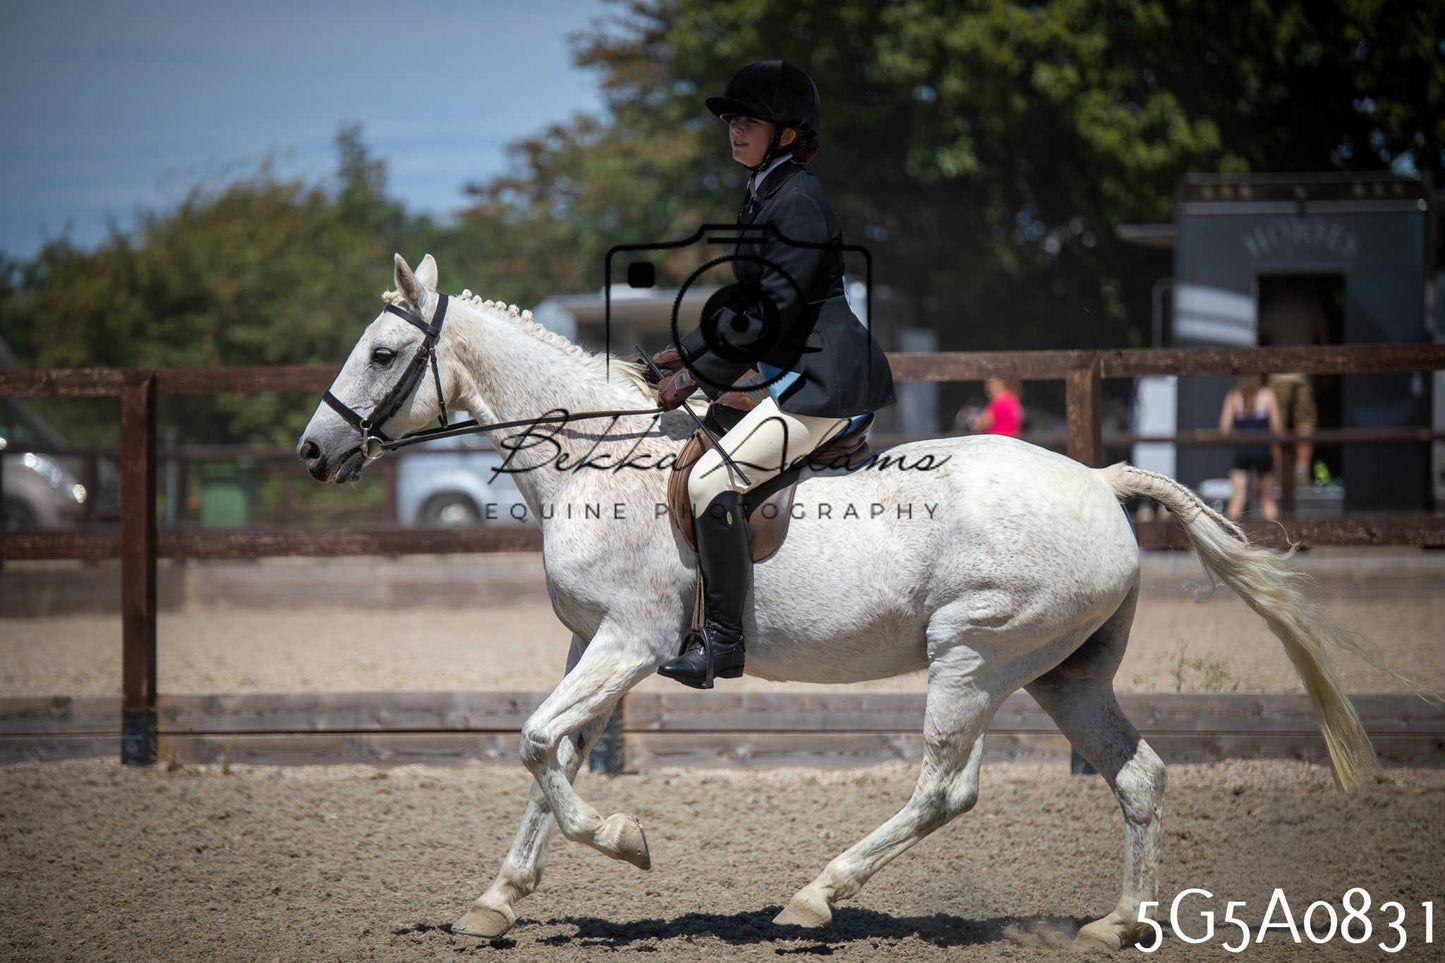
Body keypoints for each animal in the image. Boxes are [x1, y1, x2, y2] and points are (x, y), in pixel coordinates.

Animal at [297, 253, 1379, 949]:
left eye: (384, 355)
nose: (314, 450)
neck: (595, 463)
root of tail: (1100, 483)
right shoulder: (588, 645)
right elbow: (549, 752)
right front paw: (498, 899)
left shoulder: (630, 642)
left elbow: (534, 743)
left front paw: (623, 839)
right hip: (1063, 674)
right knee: (1138, 775)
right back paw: (1117, 923)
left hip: (972, 656)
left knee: (945, 787)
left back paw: (814, 897)